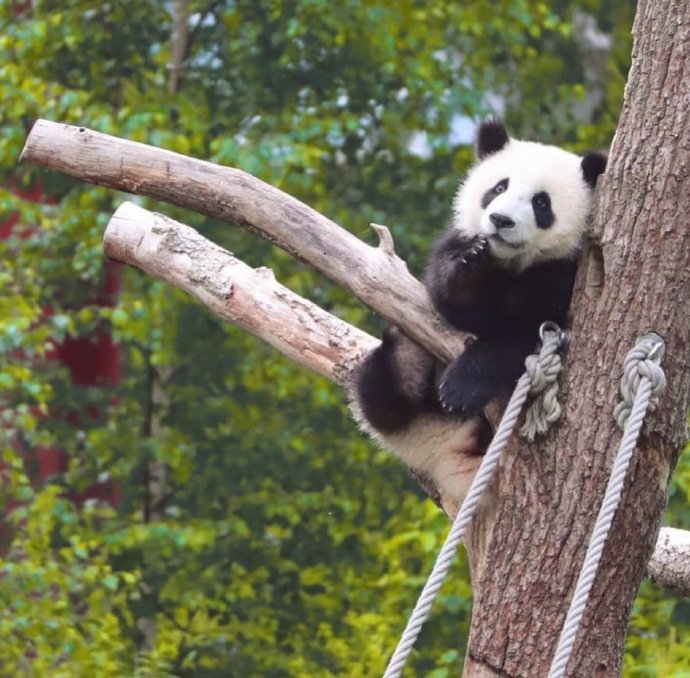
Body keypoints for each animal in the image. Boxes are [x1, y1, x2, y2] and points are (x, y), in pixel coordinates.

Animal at [352, 119, 604, 508]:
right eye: (499, 187)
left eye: (541, 203)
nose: (501, 220)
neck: (511, 262)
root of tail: (452, 458)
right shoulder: (457, 243)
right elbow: (450, 296)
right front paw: (468, 270)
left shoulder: (565, 275)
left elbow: (523, 333)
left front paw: (461, 386)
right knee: (379, 396)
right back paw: (405, 362)